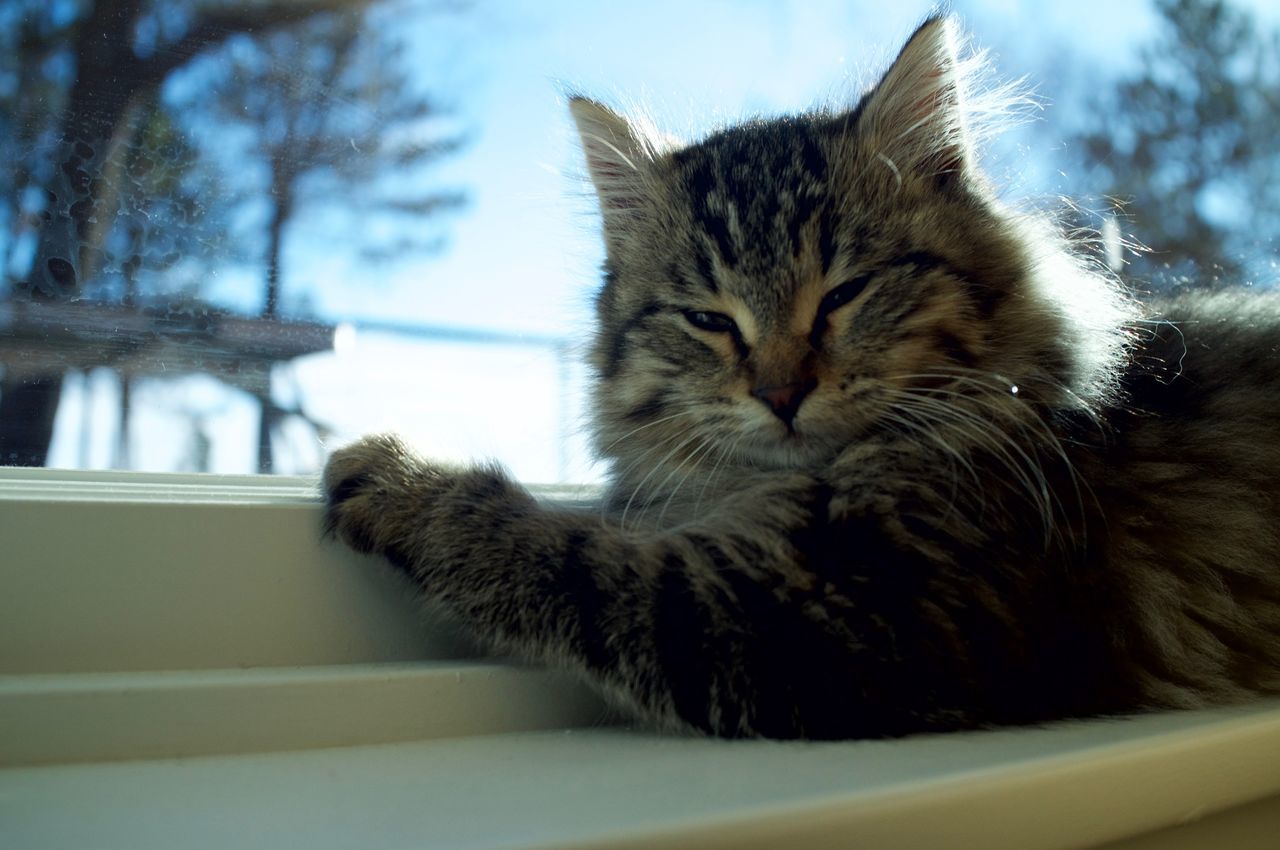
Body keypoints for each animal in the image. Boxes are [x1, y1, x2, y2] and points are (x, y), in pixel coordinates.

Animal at [322, 16, 1280, 742]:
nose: (781, 394)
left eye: (843, 296)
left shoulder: (835, 621)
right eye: (710, 320)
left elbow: (565, 553)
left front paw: (404, 480)